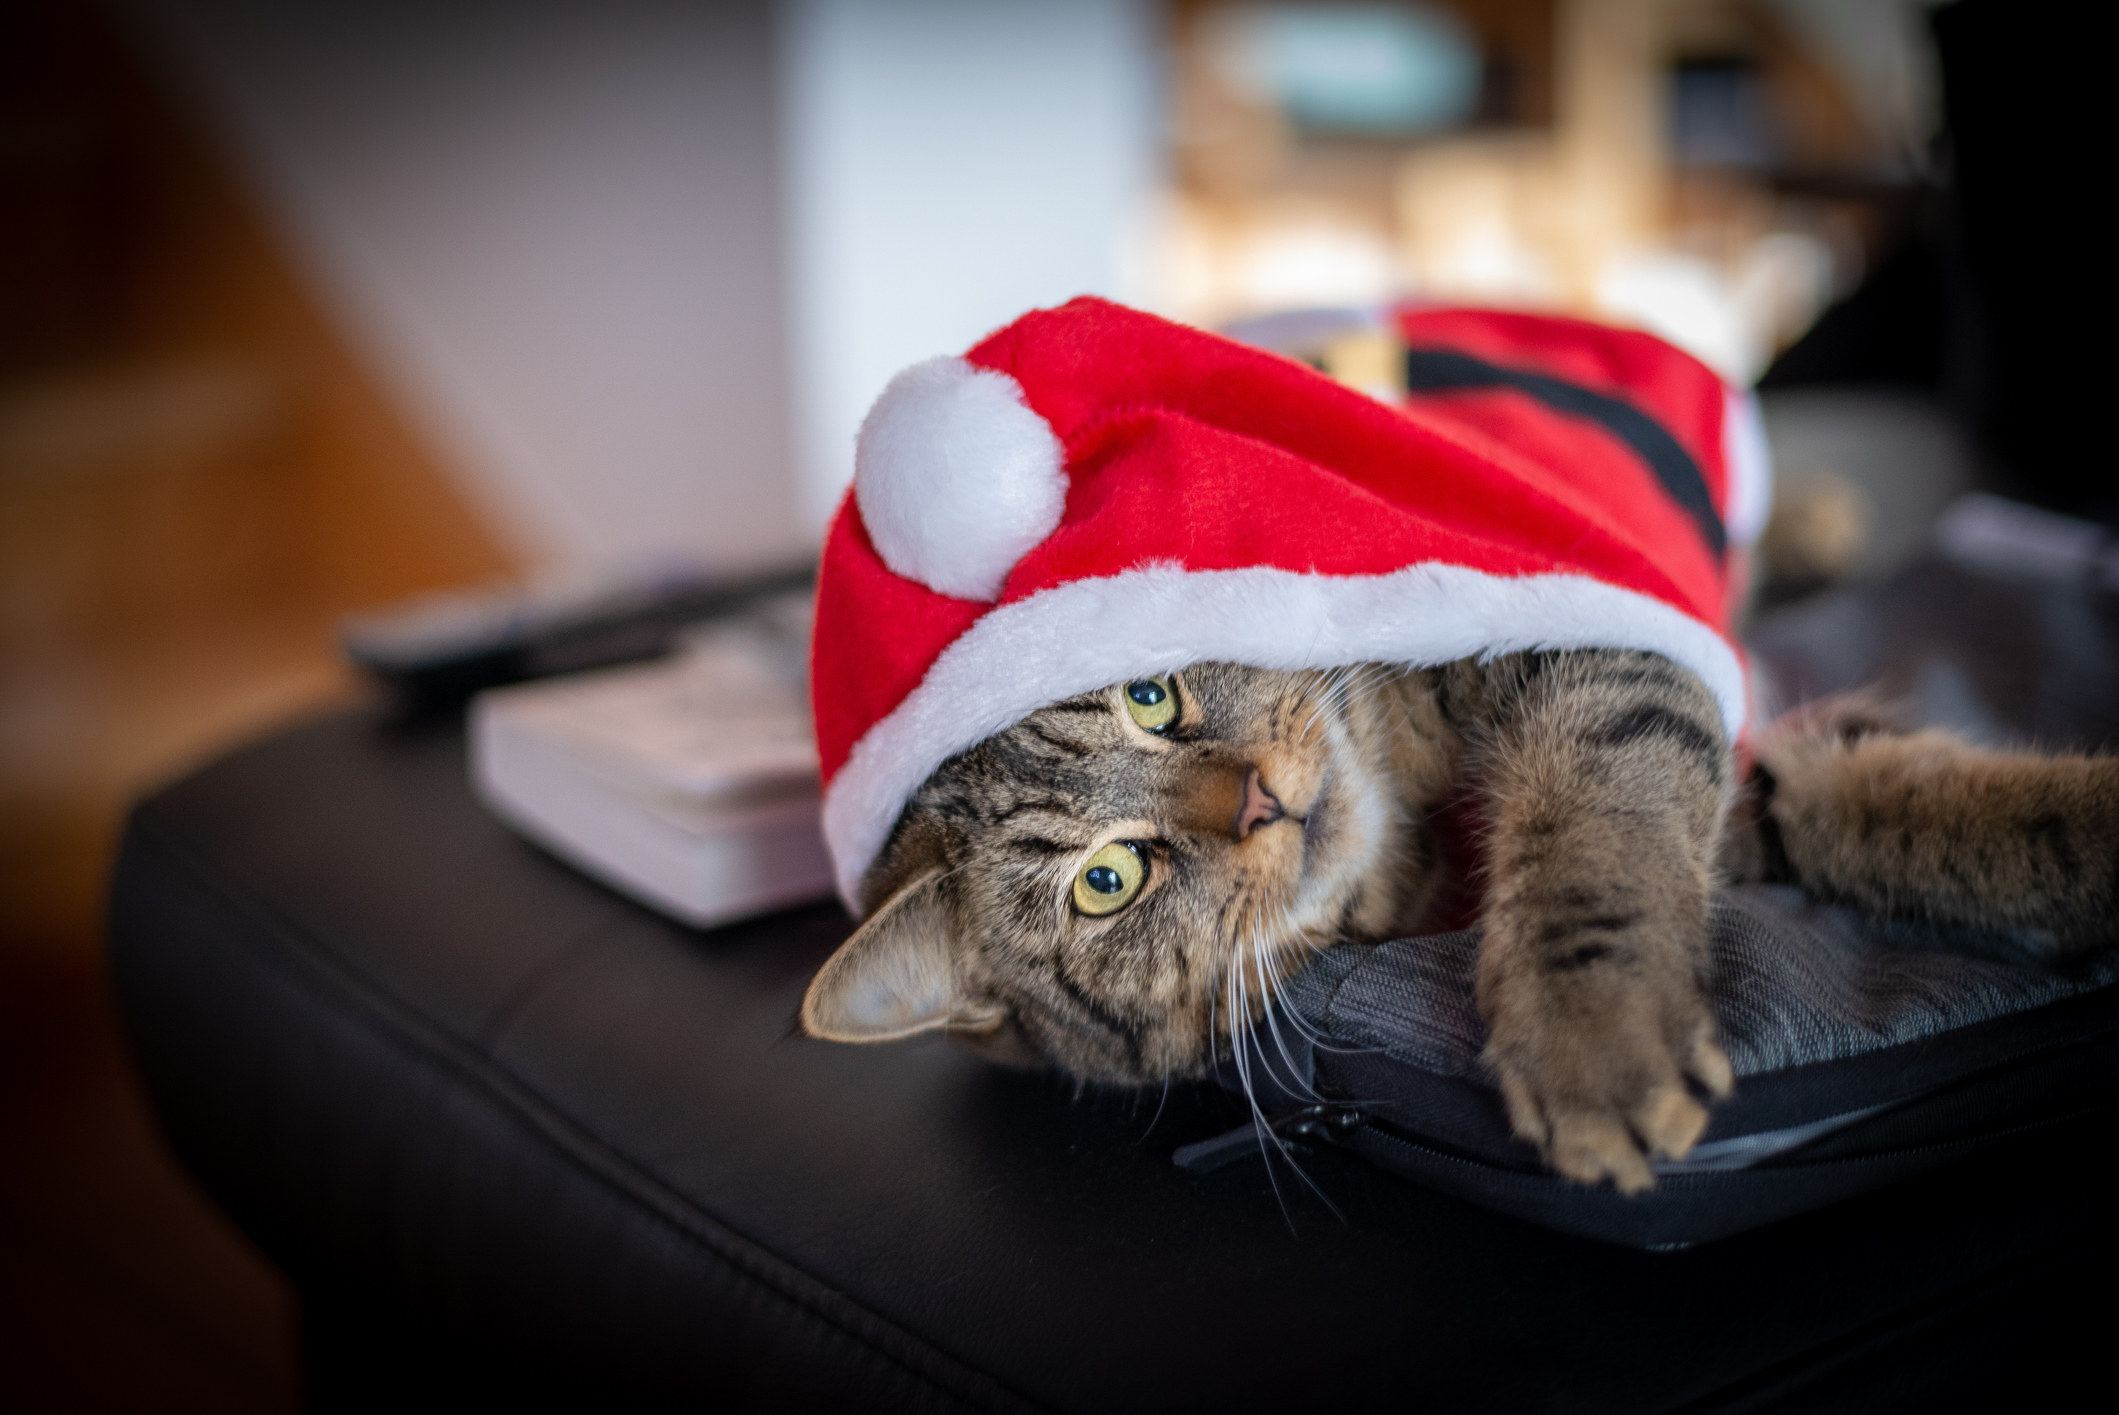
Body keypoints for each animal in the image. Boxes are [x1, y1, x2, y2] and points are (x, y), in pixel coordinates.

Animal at [796, 652, 2119, 1194]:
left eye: (1152, 691)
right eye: (1105, 881)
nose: (1261, 797)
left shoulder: (1606, 656)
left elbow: (1601, 809)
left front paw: (1593, 1026)